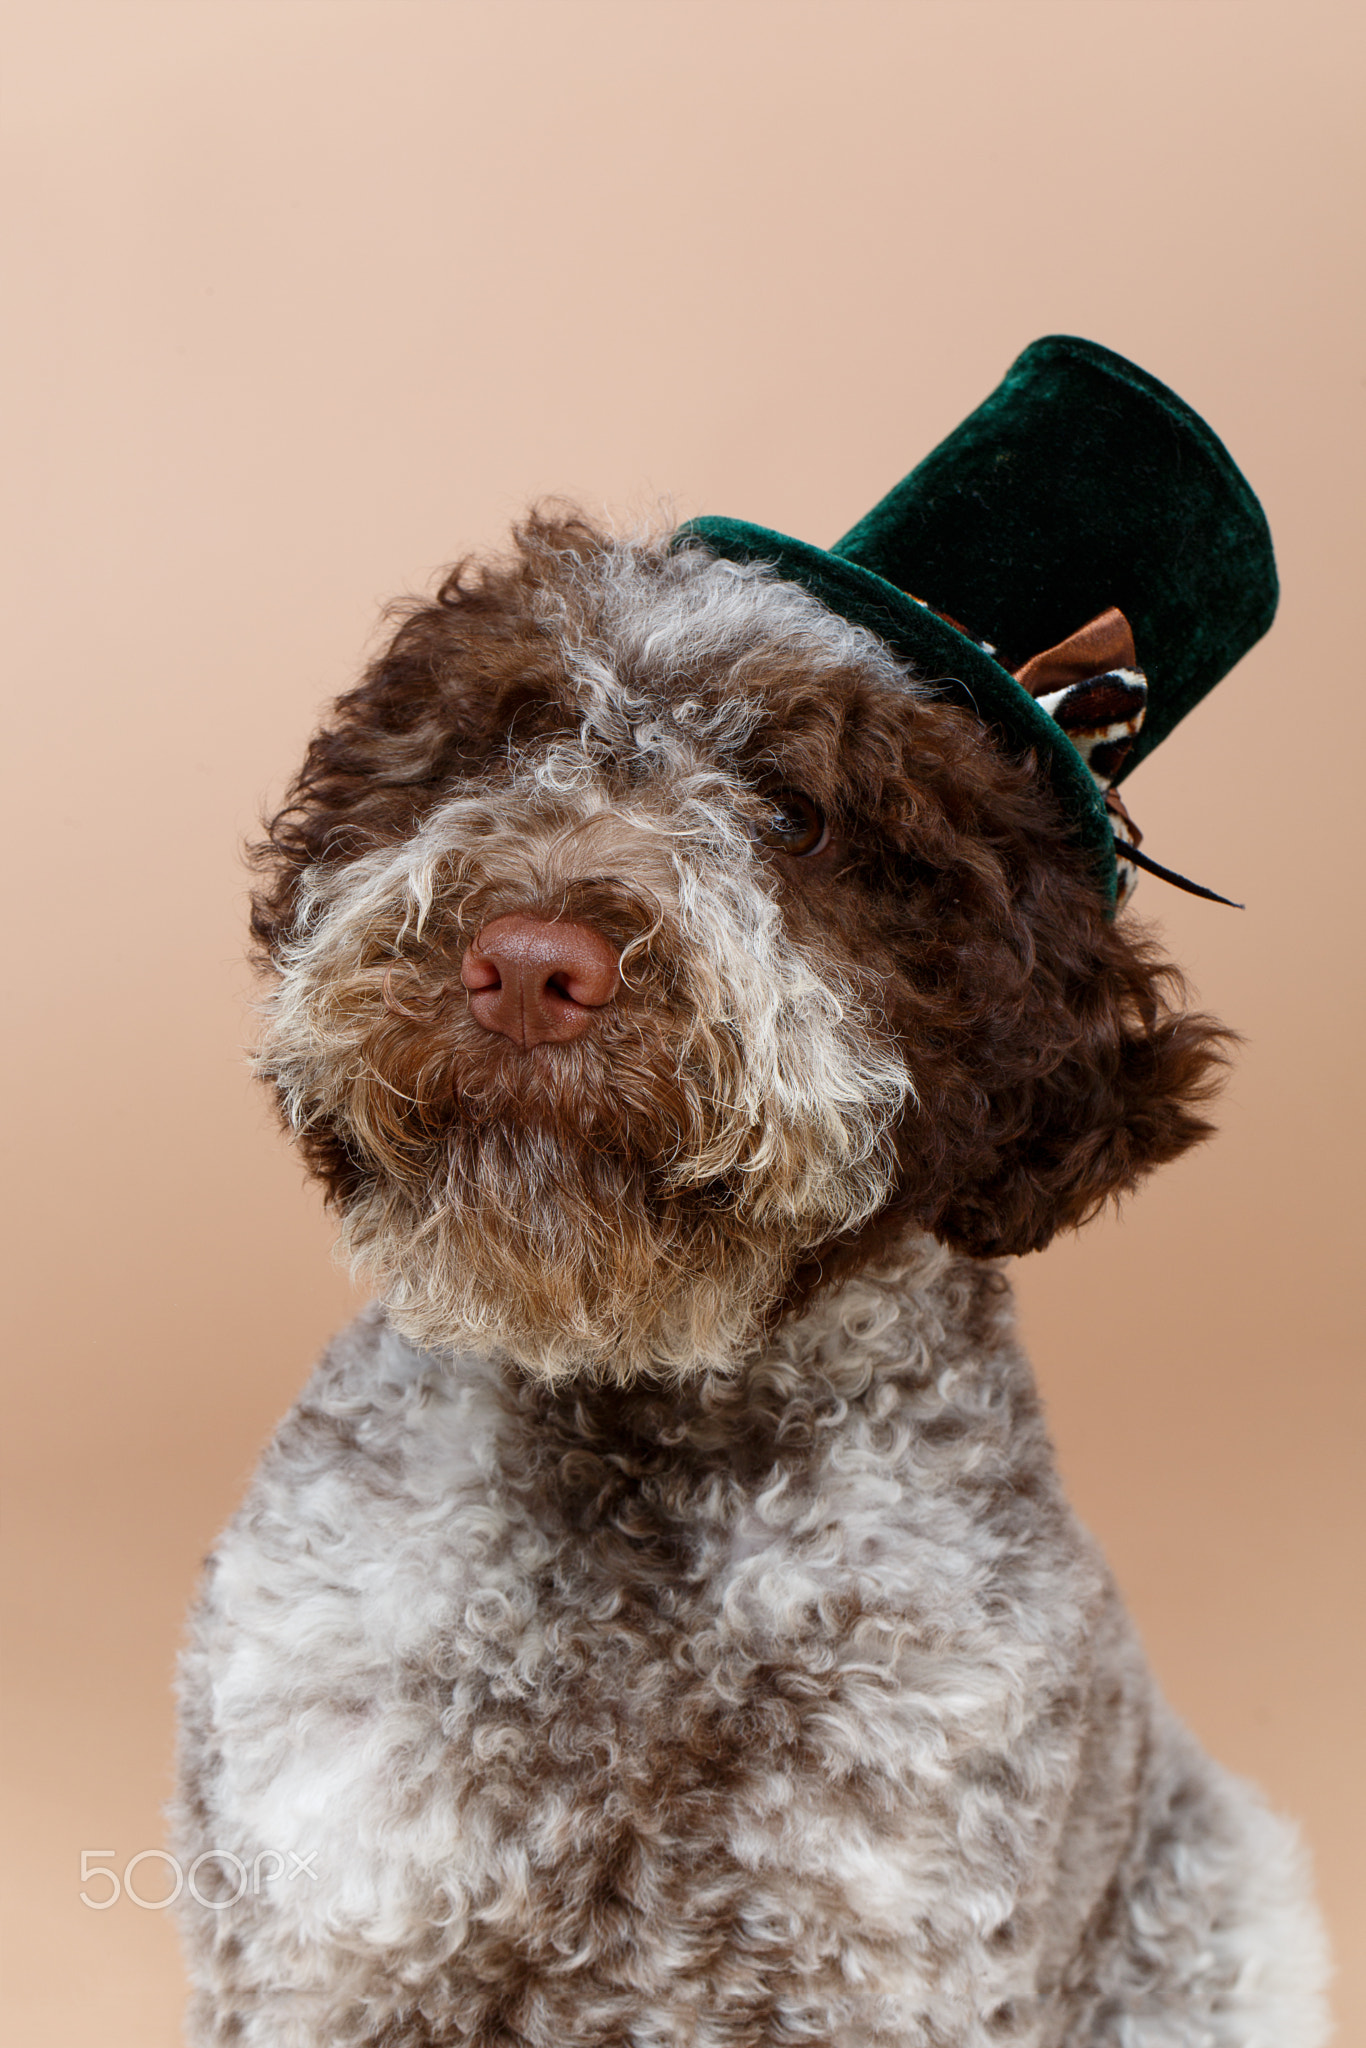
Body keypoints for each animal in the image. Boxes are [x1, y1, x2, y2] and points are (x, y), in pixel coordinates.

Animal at [176, 344, 1327, 2039]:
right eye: (492, 746)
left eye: (797, 816)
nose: (529, 964)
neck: (637, 1452)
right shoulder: (337, 1925)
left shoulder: (873, 1960)